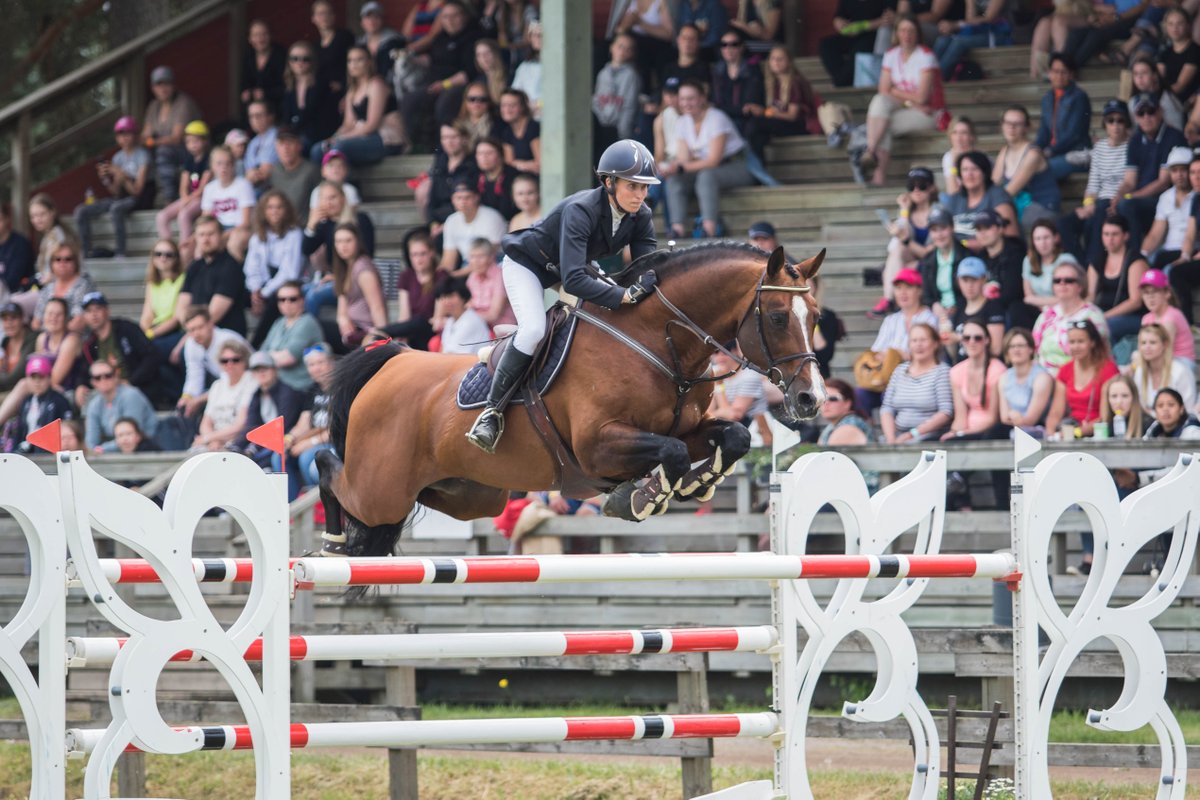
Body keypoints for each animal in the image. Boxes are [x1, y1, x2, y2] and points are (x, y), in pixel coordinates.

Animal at [315, 242, 827, 557]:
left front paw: (695, 484)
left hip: (470, 495)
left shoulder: (686, 428)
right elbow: (671, 452)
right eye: (778, 317)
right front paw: (640, 498)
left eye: (817, 316)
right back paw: (332, 540)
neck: (658, 343)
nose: (810, 399)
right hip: (382, 489)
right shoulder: (598, 445)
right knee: (331, 467)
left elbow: (734, 436)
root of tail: (394, 359)